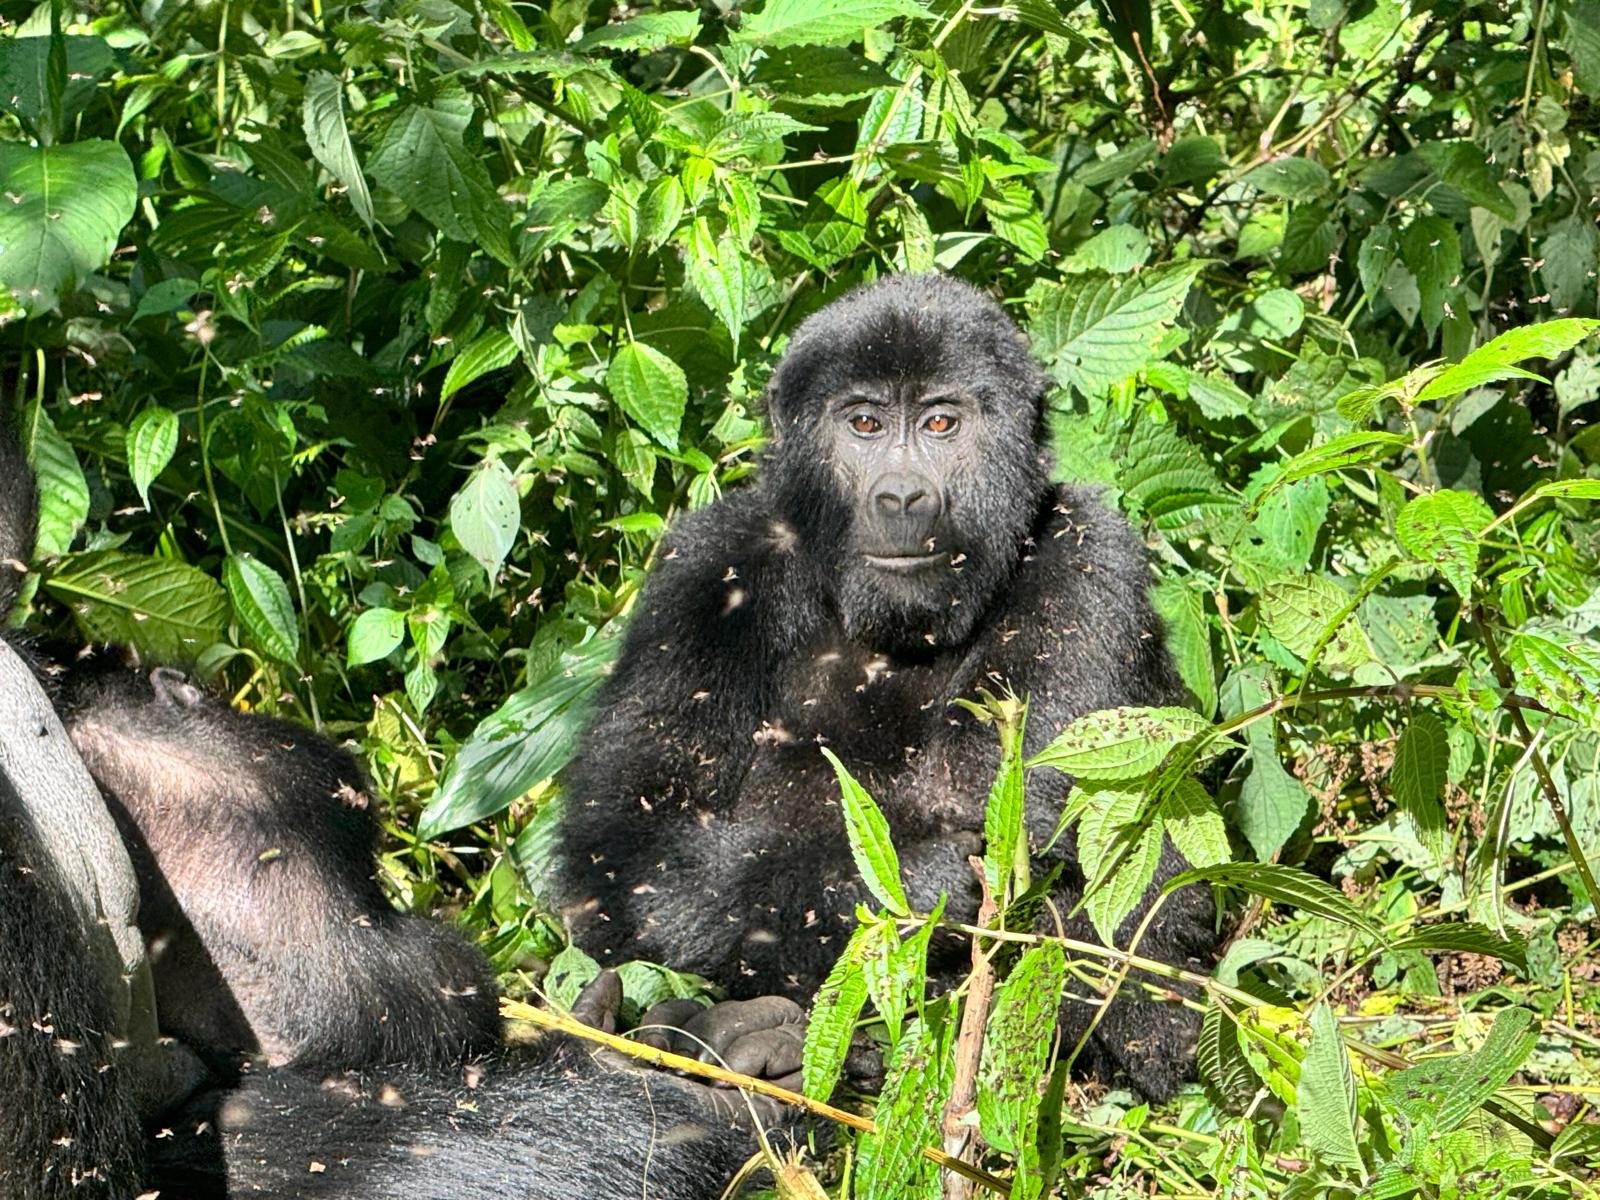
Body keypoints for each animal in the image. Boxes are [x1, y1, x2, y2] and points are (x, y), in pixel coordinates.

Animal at [554, 273, 1217, 1100]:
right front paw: (920, 881)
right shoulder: (705, 569)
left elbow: (1090, 877)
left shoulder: (1091, 553)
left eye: (940, 422)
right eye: (865, 424)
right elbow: (627, 859)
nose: (902, 497)